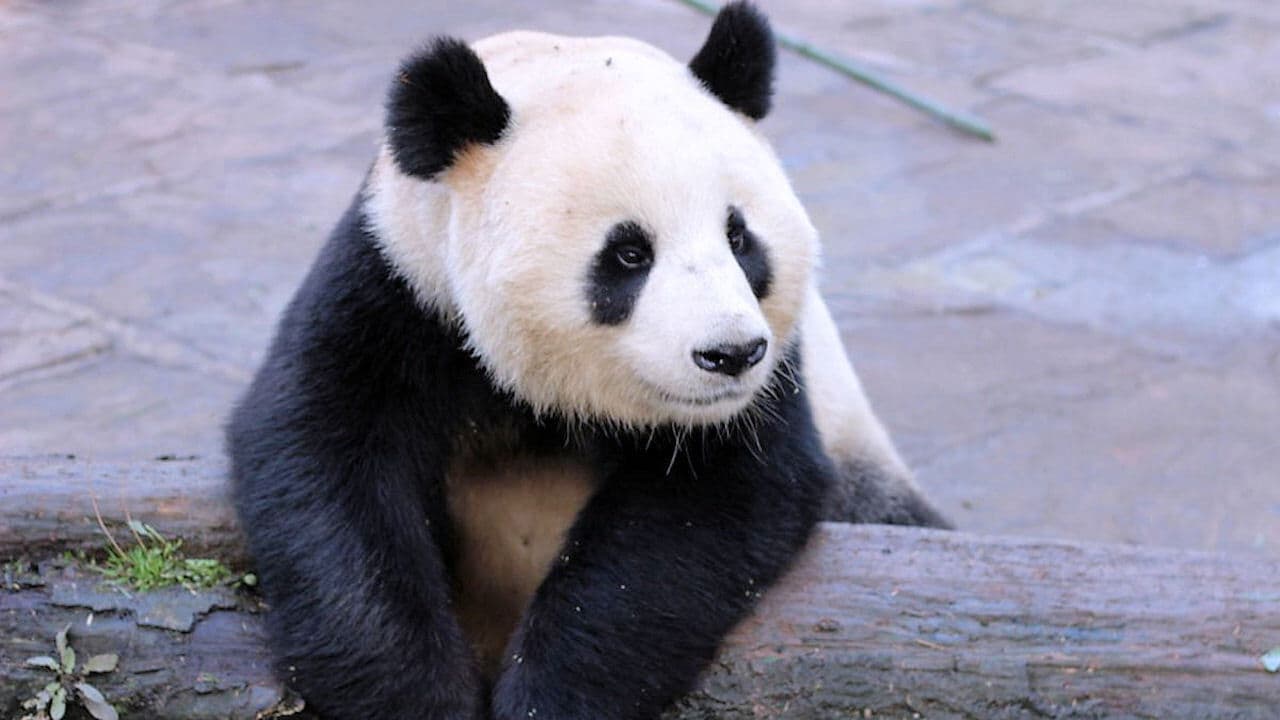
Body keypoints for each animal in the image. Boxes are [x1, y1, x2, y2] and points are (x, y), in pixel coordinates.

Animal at [227, 3, 949, 719]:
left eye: (740, 238)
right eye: (629, 253)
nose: (731, 354)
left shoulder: (772, 389)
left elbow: (696, 520)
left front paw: (548, 698)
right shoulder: (400, 290)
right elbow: (325, 464)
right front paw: (418, 698)